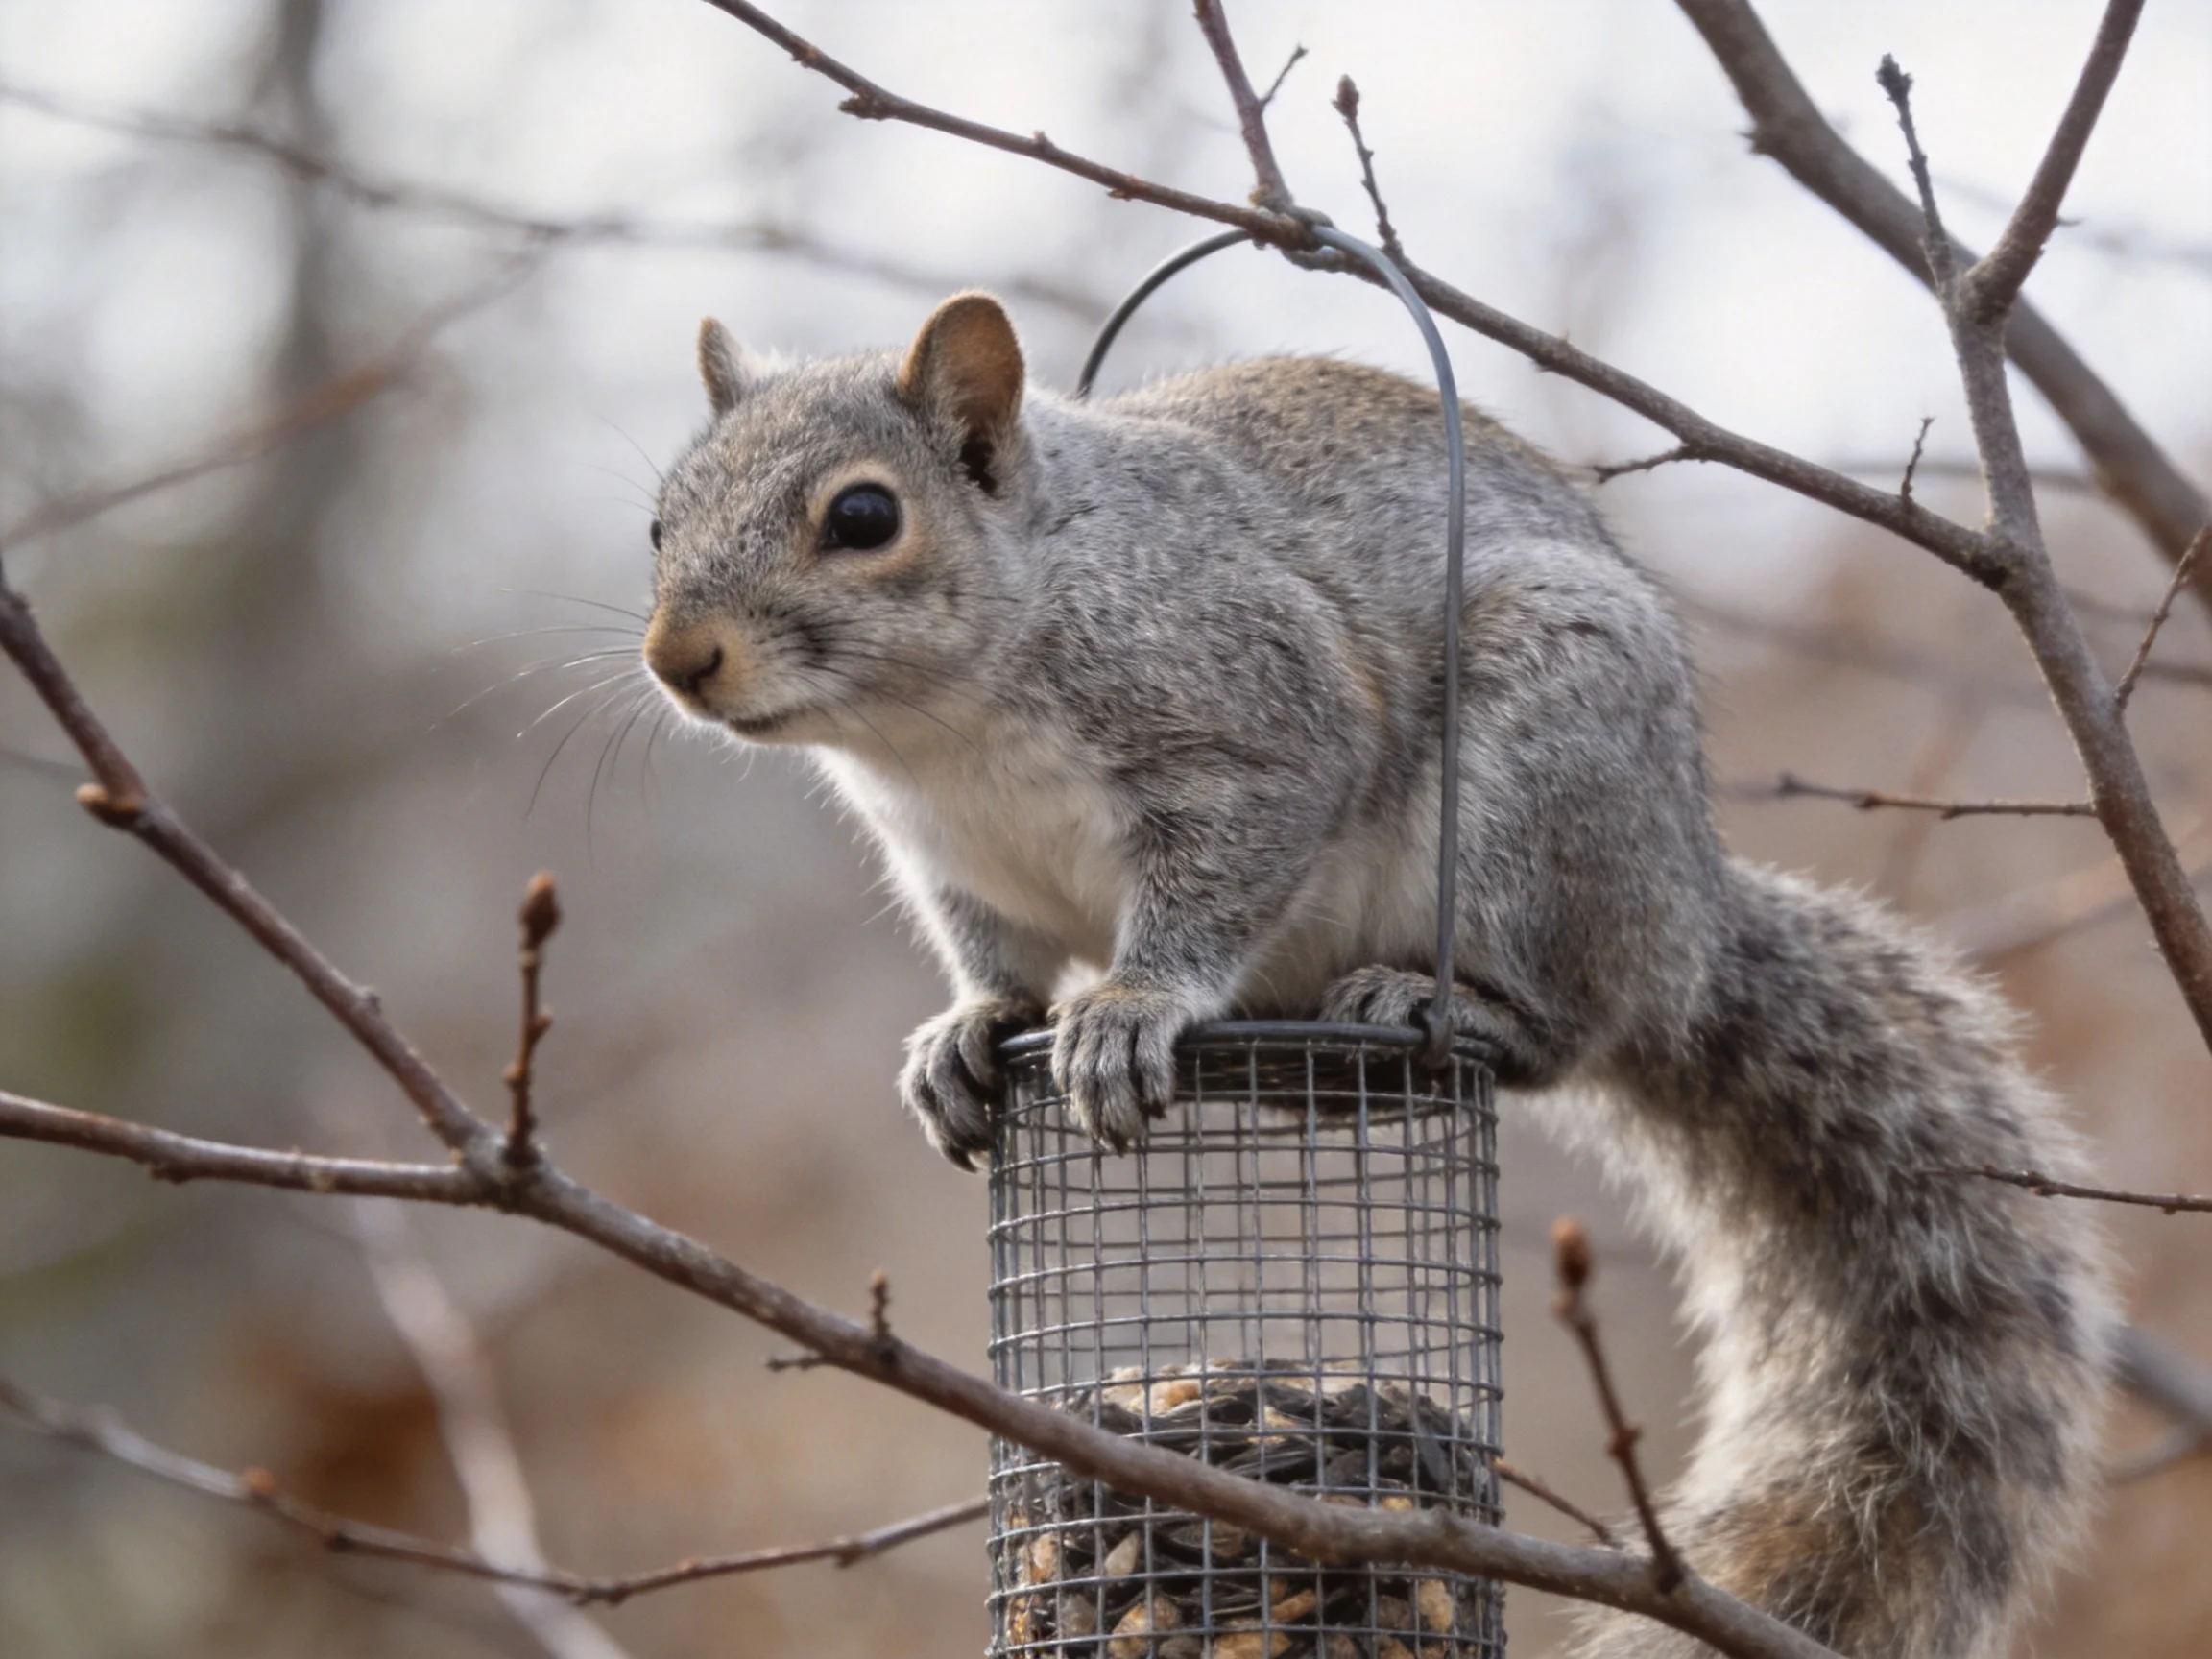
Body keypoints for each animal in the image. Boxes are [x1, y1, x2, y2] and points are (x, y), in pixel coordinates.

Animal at [640, 292, 2113, 1658]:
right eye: (658, 523)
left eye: (865, 516)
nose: (677, 660)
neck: (938, 727)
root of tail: (1687, 930)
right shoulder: (952, 863)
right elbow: (991, 963)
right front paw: (968, 1030)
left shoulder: (1259, 721)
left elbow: (1222, 873)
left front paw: (1133, 1007)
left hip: (1547, 768)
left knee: (1562, 1025)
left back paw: (1442, 1002)